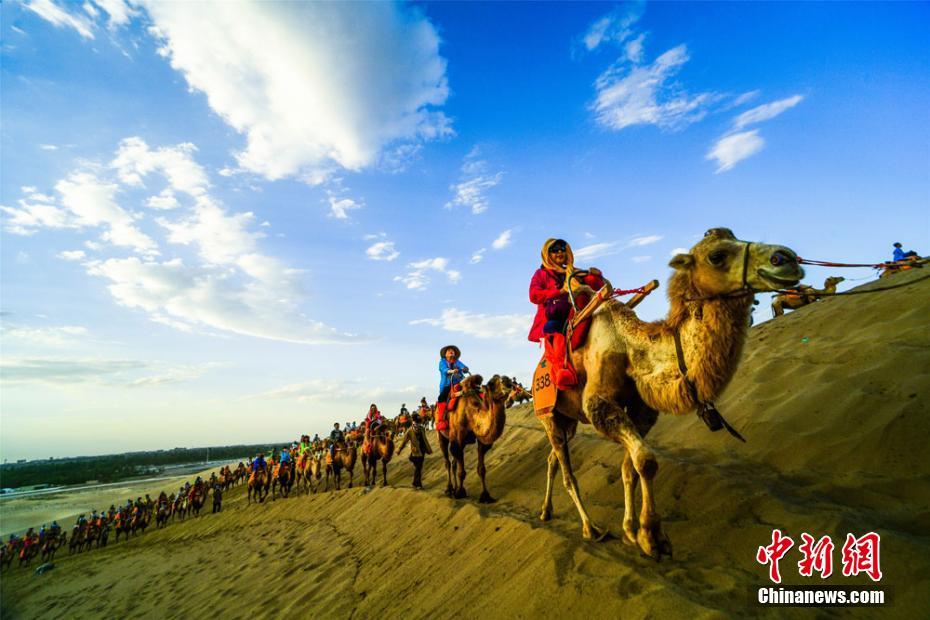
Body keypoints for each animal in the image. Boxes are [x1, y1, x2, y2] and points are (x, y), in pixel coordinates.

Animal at [436, 372, 512, 504]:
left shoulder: (479, 440)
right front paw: (460, 493)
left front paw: (486, 496)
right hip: (441, 435)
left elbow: (481, 469)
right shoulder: (457, 438)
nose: (508, 381)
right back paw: (449, 489)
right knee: (447, 462)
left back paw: (454, 487)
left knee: (454, 463)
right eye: (491, 383)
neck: (470, 411)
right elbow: (462, 471)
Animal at [532, 229, 800, 560]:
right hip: (549, 416)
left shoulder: (642, 410)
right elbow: (646, 461)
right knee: (568, 474)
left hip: (568, 419)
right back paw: (591, 529)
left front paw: (632, 531)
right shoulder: (598, 404)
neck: (629, 345)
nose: (786, 258)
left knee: (552, 459)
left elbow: (632, 466)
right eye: (717, 255)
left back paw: (546, 512)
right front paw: (652, 537)